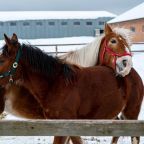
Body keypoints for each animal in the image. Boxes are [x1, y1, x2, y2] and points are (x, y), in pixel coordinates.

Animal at [0, 29, 142, 144]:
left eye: (1, 60)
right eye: (113, 41)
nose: (126, 64)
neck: (56, 84)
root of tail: (132, 73)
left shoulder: (65, 126)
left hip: (131, 114)